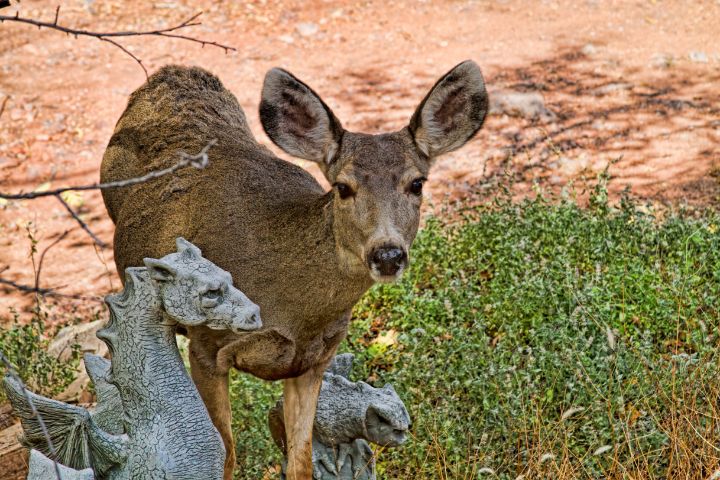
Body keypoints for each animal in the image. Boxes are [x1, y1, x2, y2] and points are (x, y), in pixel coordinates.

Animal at [101, 61, 490, 480]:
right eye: (343, 187)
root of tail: (171, 73)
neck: (294, 311)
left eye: (416, 183)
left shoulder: (314, 361)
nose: (387, 254)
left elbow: (300, 460)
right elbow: (226, 455)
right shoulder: (206, 345)